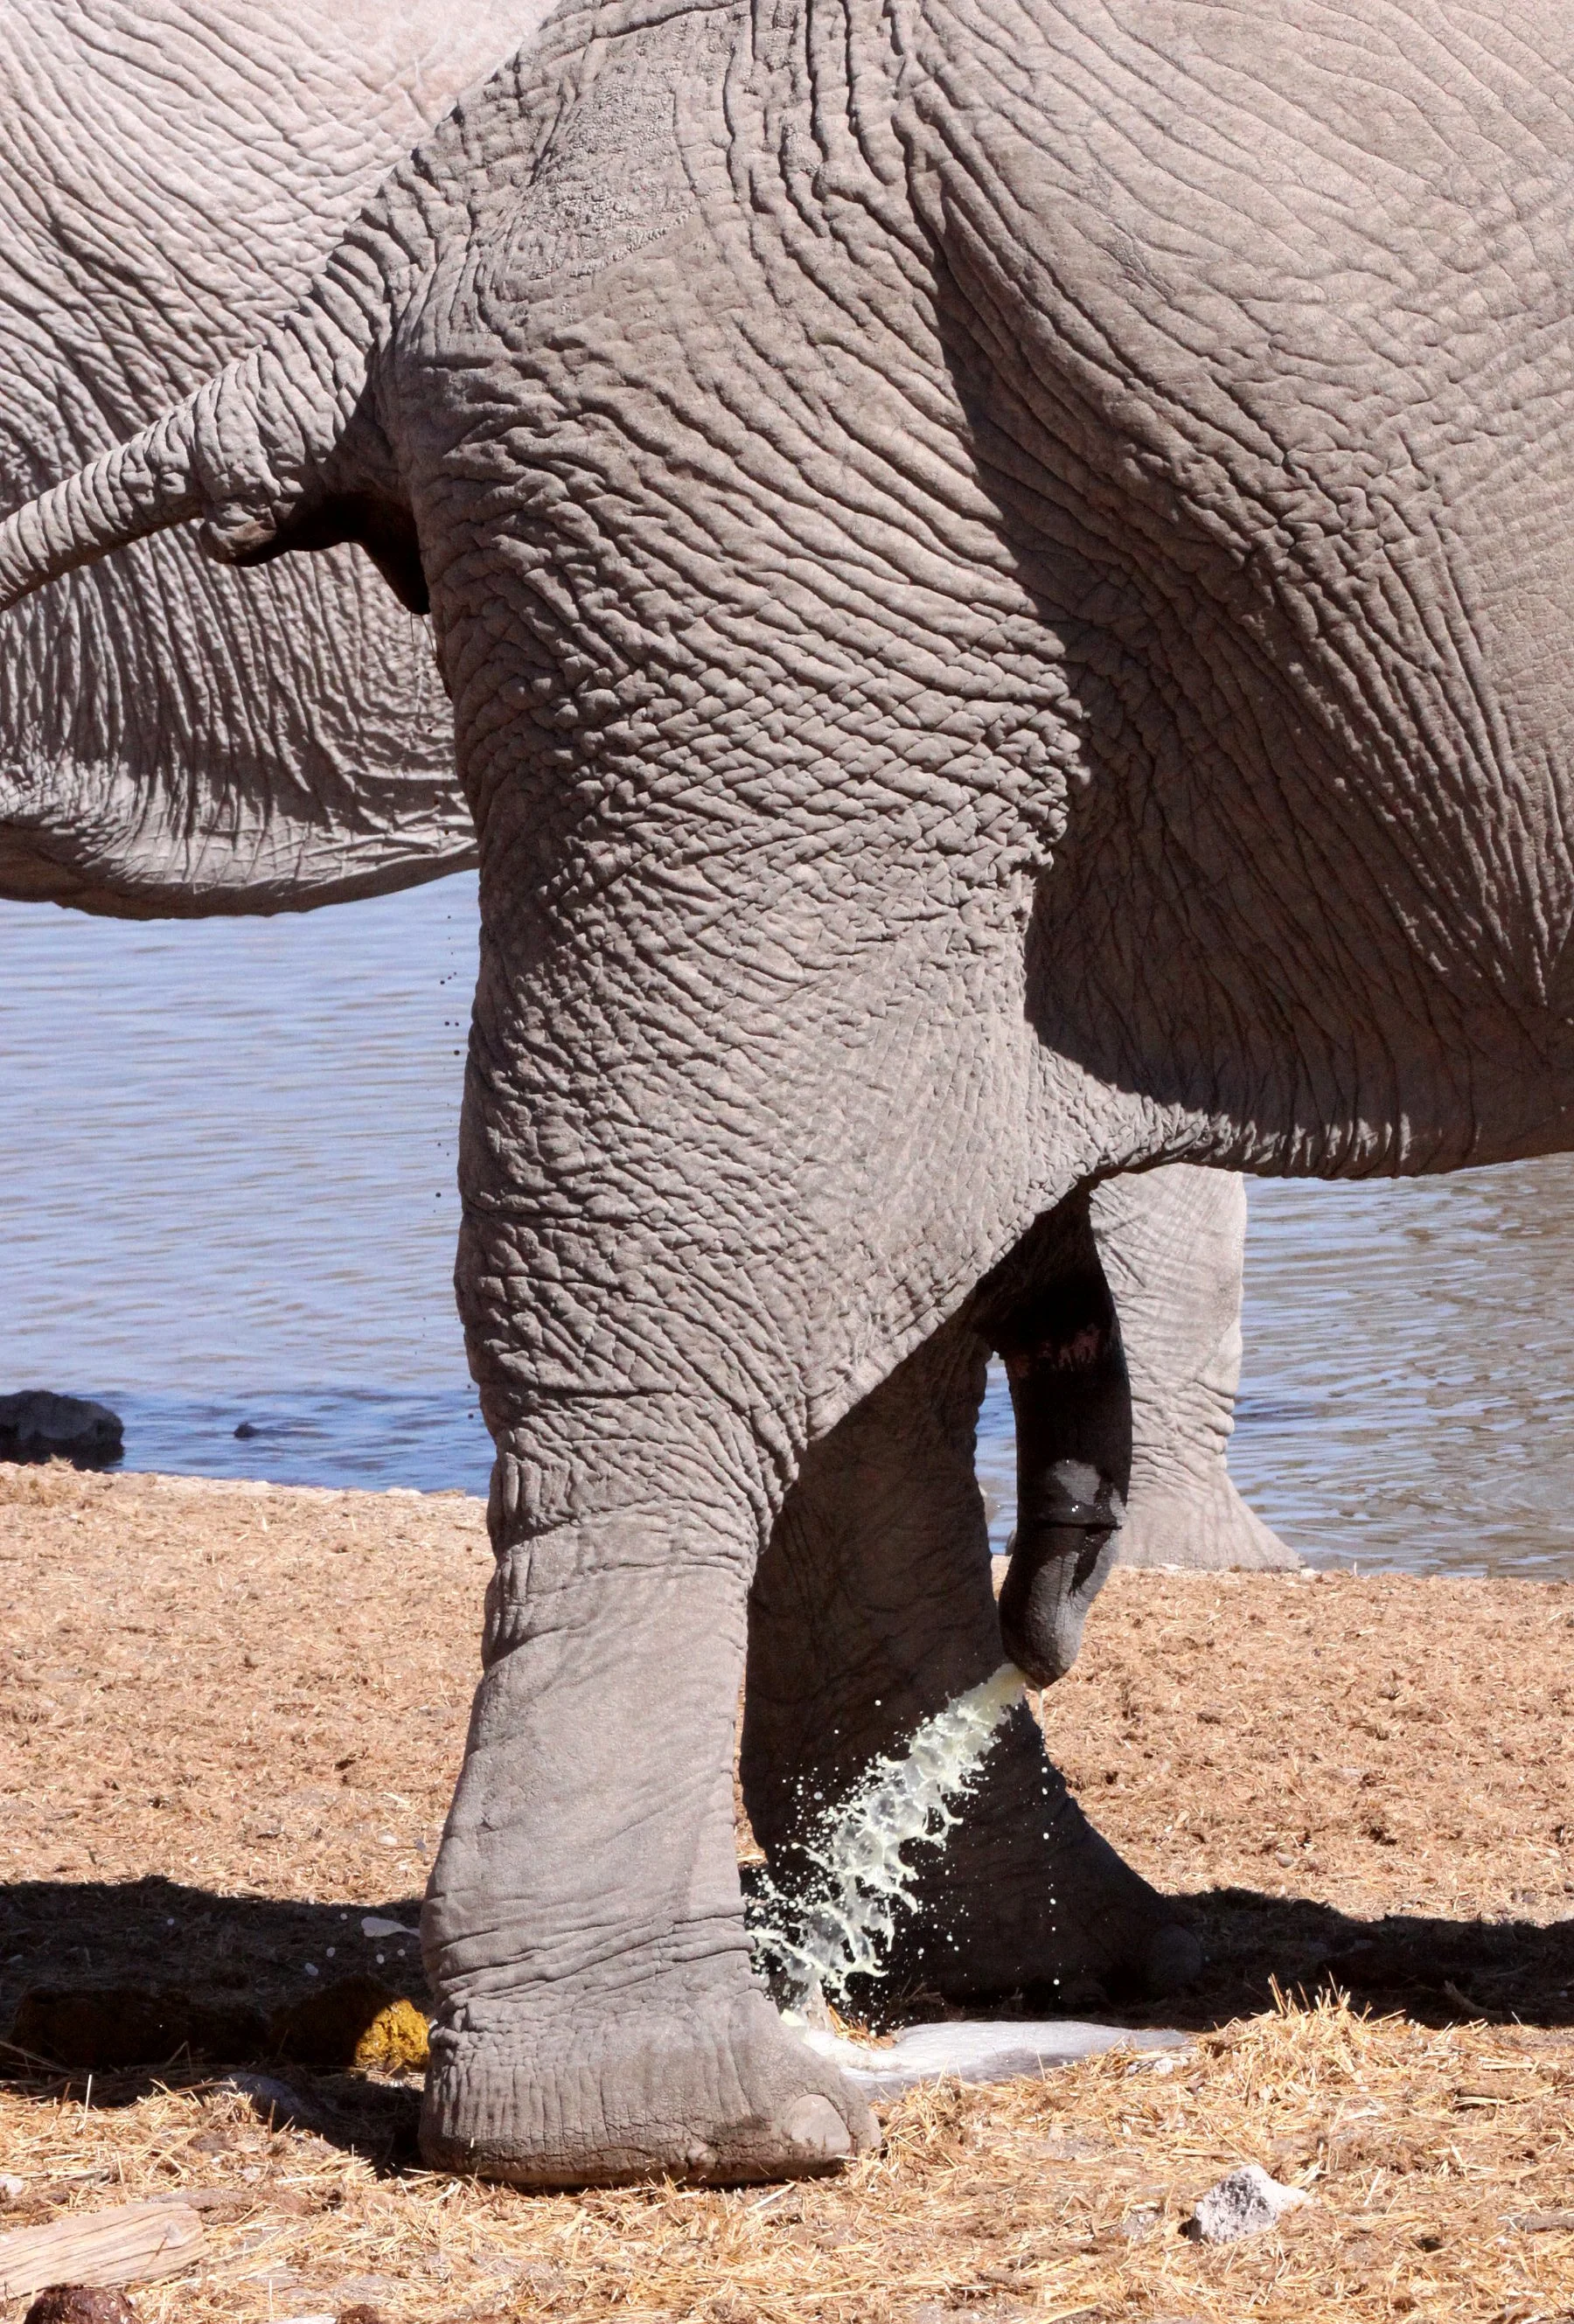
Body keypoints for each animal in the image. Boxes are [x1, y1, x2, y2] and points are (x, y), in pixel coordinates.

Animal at [6, 0, 1528, 2193]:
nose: (1057, 1620)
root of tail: (382, 267)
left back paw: (1039, 1962)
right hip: (794, 573)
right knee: (719, 1230)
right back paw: (718, 2114)